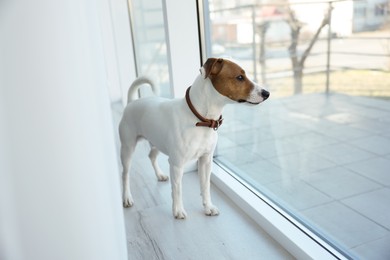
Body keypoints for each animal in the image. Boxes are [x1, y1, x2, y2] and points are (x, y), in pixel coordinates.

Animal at [118, 58, 268, 218]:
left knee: (151, 156)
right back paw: (126, 197)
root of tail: (132, 102)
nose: (267, 93)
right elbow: (177, 190)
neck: (201, 121)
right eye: (240, 77)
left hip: (157, 141)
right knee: (125, 174)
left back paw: (159, 175)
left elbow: (206, 187)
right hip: (127, 149)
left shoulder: (205, 161)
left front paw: (208, 207)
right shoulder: (177, 165)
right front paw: (178, 210)